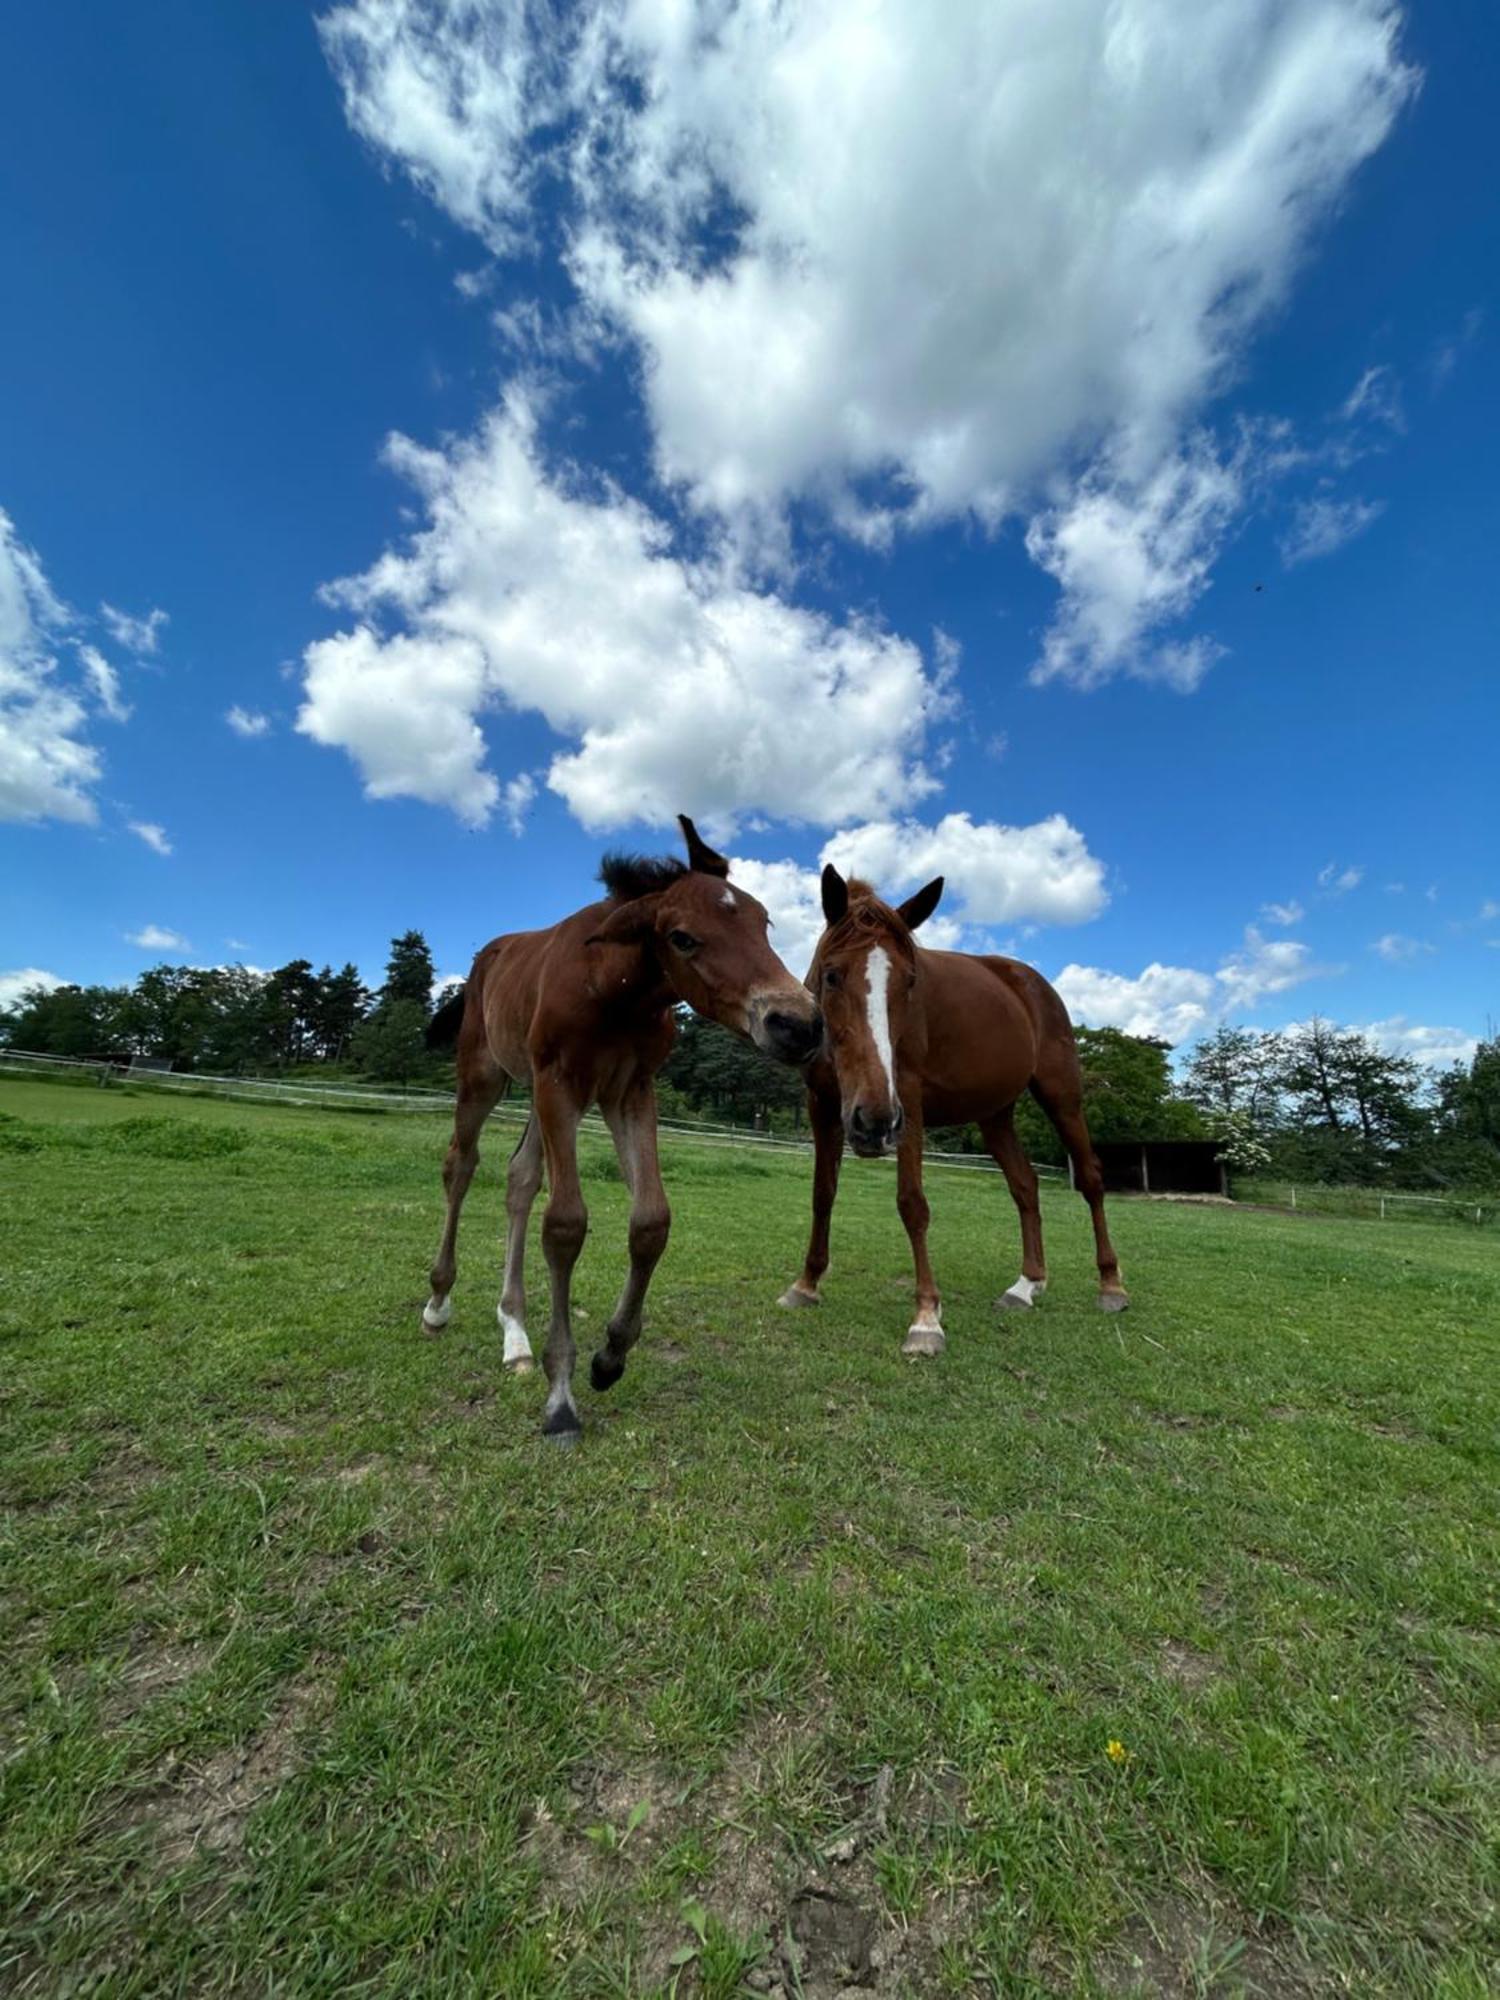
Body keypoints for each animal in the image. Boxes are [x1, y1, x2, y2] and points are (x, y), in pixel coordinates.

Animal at [424, 812, 824, 1440]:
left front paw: (610, 1356)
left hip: (537, 1096)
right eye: (682, 937)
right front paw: (561, 1397)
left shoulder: (629, 1091)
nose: (798, 1024)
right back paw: (439, 1302)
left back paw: (515, 1332)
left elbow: (650, 1221)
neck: (609, 987)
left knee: (519, 1179)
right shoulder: (561, 1082)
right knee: (460, 1166)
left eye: (764, 922)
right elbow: (565, 1224)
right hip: (486, 1075)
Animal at [788, 868, 1128, 1352]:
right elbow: (822, 1193)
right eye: (831, 975)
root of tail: (1030, 983)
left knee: (1092, 1179)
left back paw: (1111, 1284)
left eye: (910, 981)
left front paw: (926, 1317)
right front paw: (807, 1283)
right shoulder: (821, 1104)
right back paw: (1027, 1285)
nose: (874, 1122)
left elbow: (912, 1204)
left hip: (1062, 1098)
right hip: (995, 1115)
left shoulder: (907, 1103)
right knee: (1025, 1185)